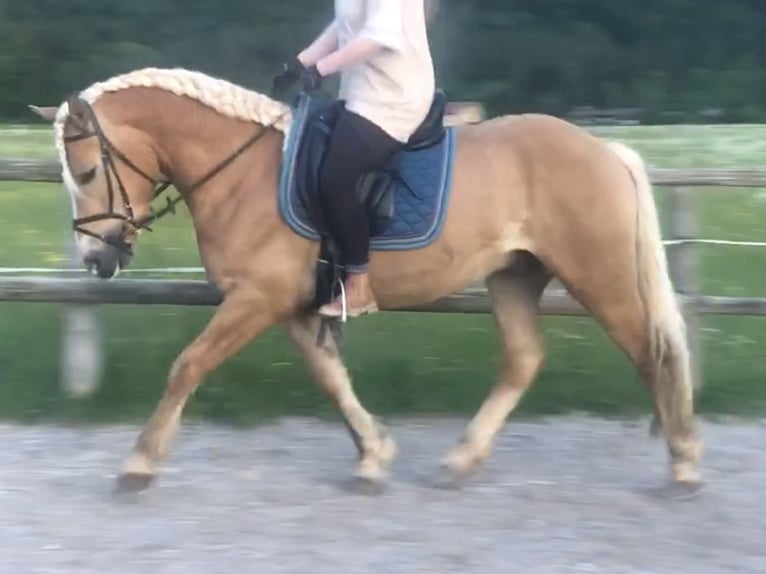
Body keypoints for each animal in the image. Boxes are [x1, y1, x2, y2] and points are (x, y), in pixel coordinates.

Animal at [30, 66, 702, 495]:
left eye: (86, 171)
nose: (97, 259)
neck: (244, 173)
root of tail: (605, 150)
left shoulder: (256, 300)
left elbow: (187, 366)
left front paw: (139, 464)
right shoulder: (294, 307)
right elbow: (331, 379)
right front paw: (374, 457)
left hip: (599, 274)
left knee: (653, 355)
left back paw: (684, 463)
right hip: (514, 276)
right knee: (524, 359)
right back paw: (461, 459)